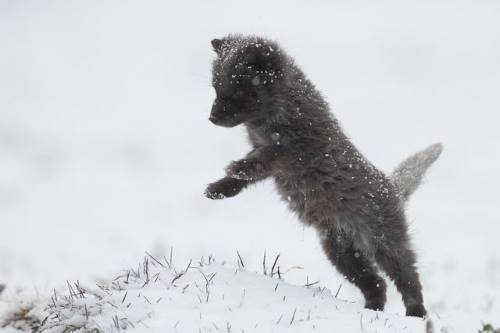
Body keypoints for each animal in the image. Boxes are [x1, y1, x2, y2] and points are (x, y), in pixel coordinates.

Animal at [205, 34, 444, 316]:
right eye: (215, 87)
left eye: (237, 90)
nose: (211, 118)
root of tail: (392, 186)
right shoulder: (266, 154)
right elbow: (251, 172)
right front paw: (220, 189)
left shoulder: (297, 150)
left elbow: (264, 159)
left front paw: (237, 168)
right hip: (342, 253)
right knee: (376, 282)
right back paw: (371, 310)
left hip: (382, 242)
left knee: (407, 276)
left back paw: (415, 312)